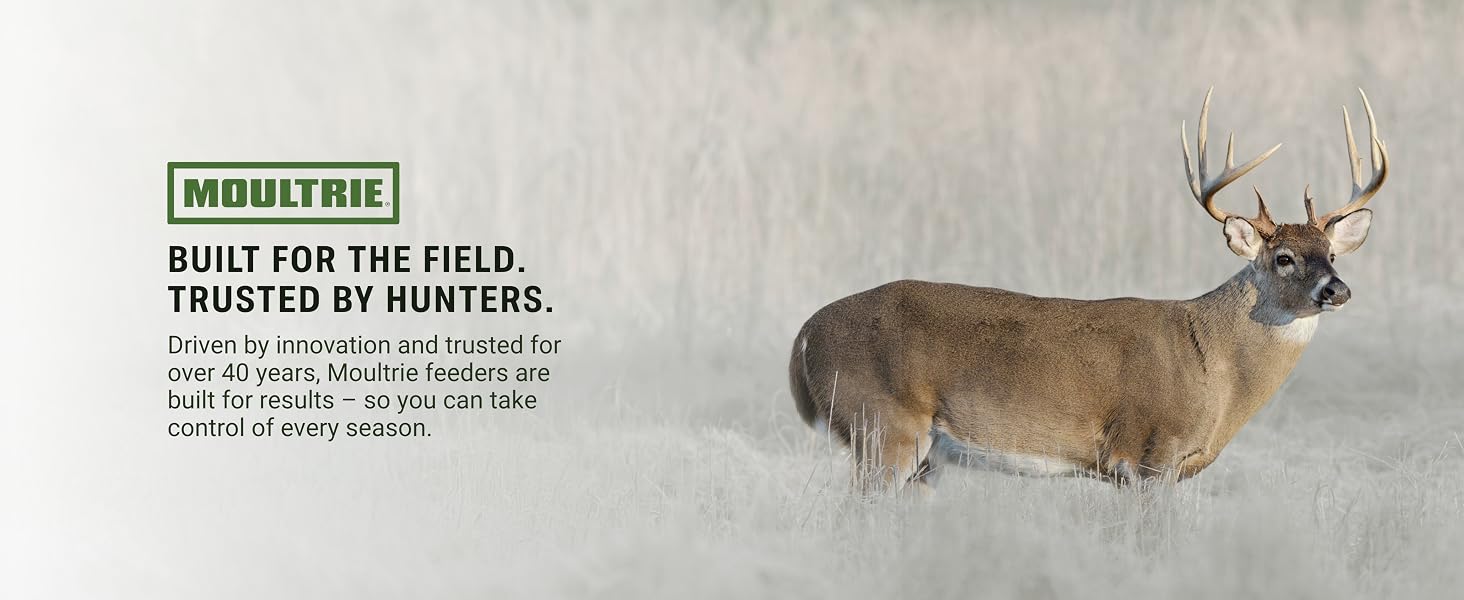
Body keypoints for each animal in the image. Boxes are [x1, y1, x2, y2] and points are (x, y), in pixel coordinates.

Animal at [788, 89, 1389, 492]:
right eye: (1284, 258)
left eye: (1332, 253)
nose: (1337, 289)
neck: (1213, 365)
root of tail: (803, 338)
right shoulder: (1151, 453)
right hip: (882, 425)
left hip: (917, 455)